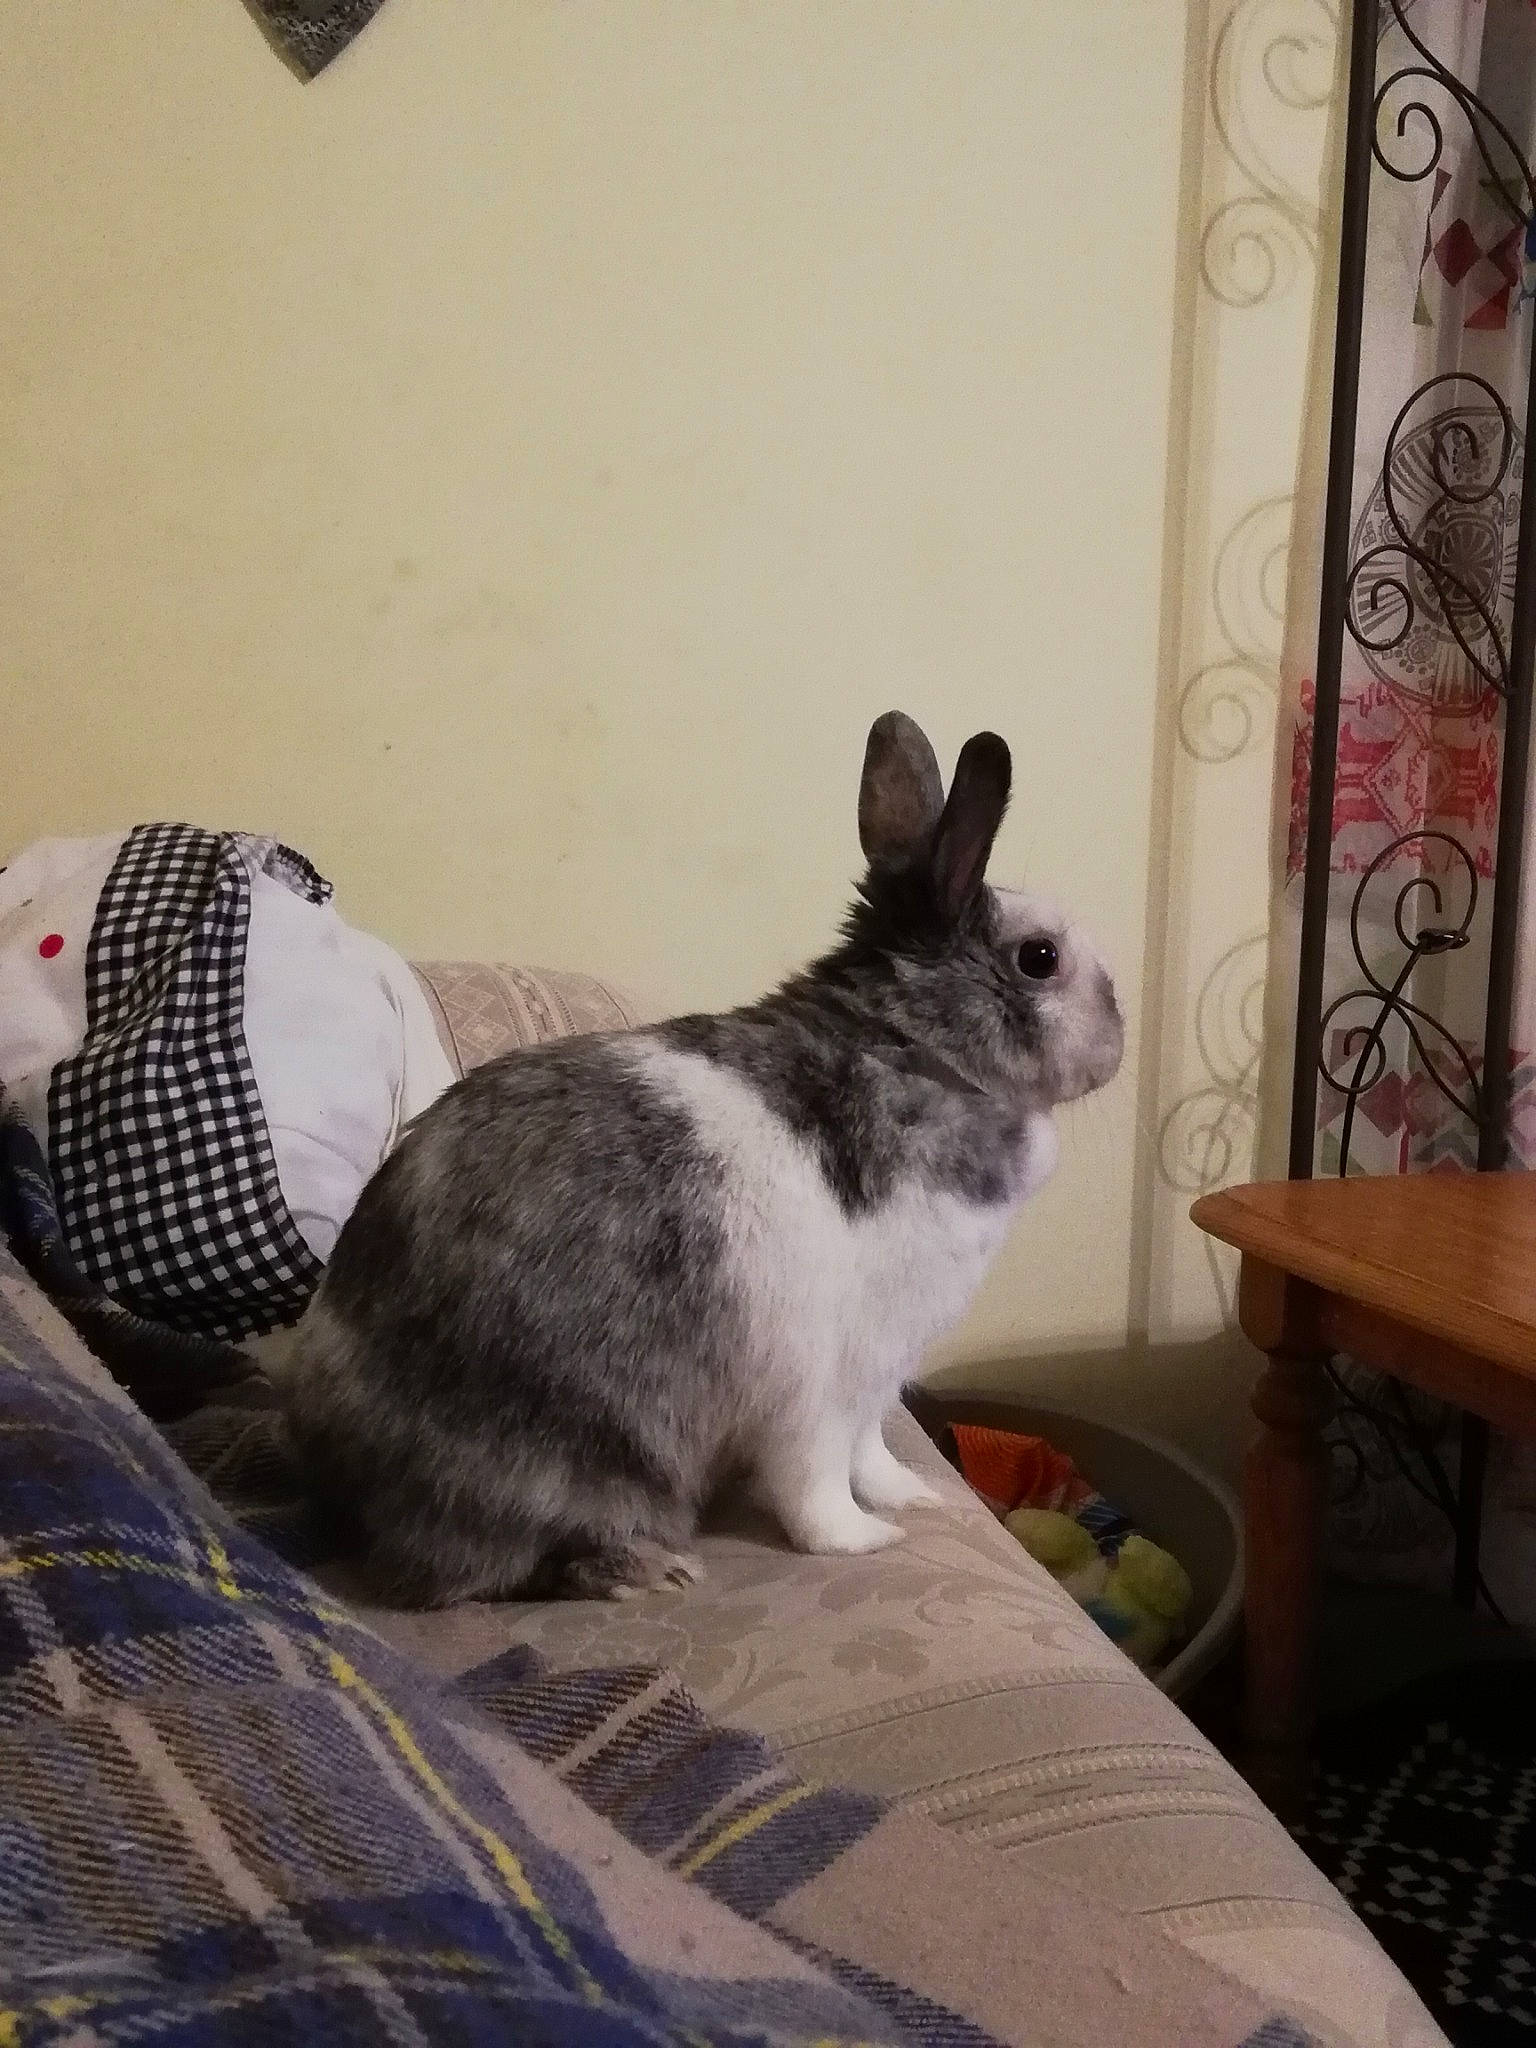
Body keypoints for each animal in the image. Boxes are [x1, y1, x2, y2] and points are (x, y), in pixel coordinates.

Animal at [283, 712, 1124, 1606]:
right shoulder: (820, 1385)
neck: (915, 1053)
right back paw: (651, 1570)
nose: (1118, 1043)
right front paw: (863, 1541)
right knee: (496, 1566)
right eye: (1041, 958)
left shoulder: (879, 1379)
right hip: (573, 1460)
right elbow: (817, 1484)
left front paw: (912, 1497)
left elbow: (871, 1457)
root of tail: (340, 1484)